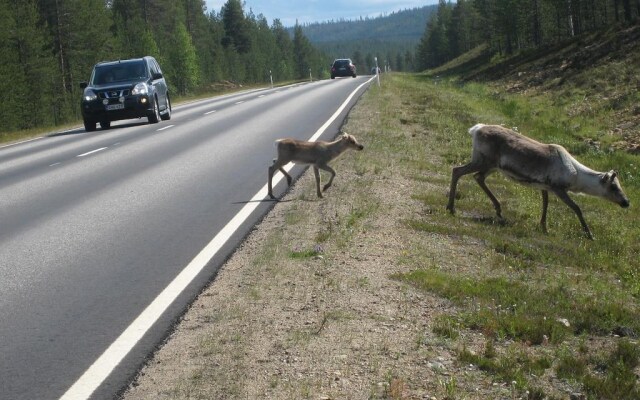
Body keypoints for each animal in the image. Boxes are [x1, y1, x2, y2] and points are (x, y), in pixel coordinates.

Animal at [448, 123, 628, 239]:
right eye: (613, 186)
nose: (626, 202)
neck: (576, 176)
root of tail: (475, 129)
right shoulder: (558, 188)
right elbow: (576, 208)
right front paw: (589, 235)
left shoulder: (545, 187)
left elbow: (545, 204)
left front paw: (543, 227)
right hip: (483, 161)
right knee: (457, 171)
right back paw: (451, 208)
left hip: (491, 166)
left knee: (478, 177)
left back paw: (498, 210)